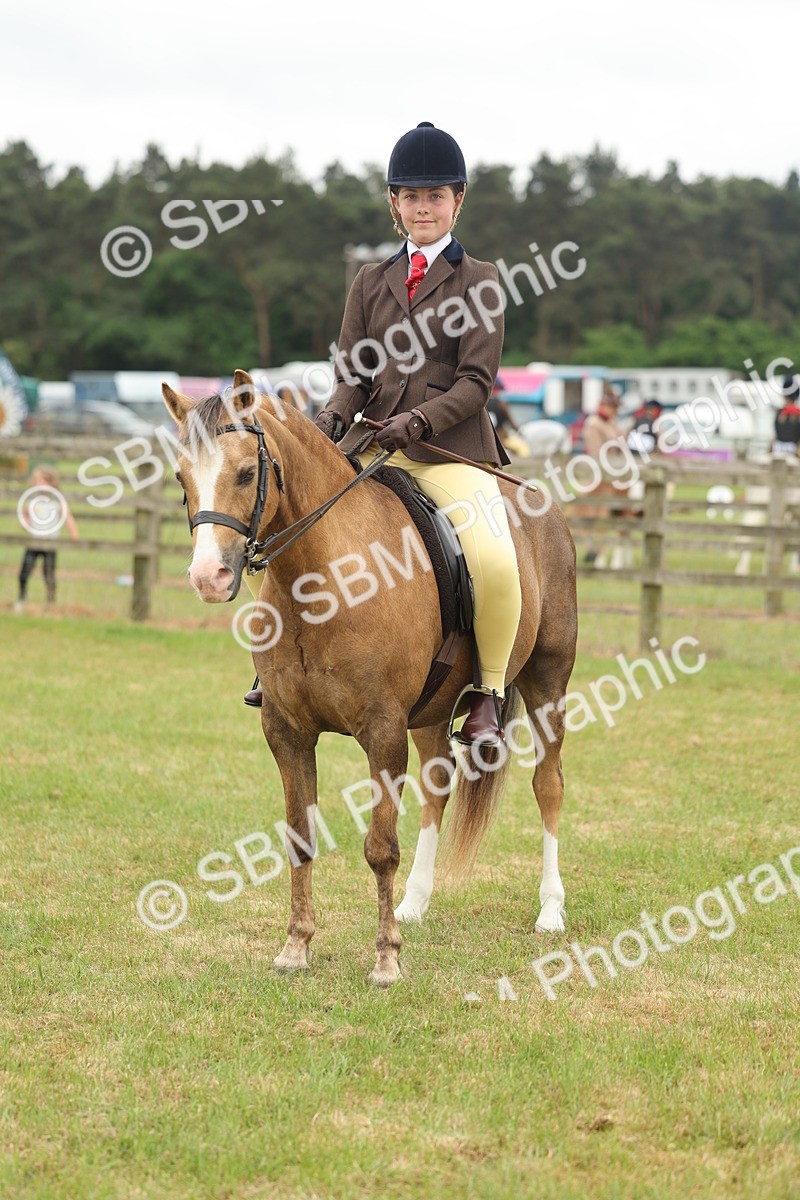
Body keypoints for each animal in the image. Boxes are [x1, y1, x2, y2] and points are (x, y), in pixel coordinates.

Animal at [162, 370, 578, 987]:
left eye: (244, 472)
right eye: (181, 476)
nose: (208, 577)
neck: (322, 580)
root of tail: (542, 504)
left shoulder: (381, 732)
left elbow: (381, 846)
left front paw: (386, 959)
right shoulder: (287, 732)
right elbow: (299, 838)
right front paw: (297, 947)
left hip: (548, 683)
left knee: (547, 787)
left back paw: (550, 910)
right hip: (432, 711)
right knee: (439, 787)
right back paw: (415, 902)